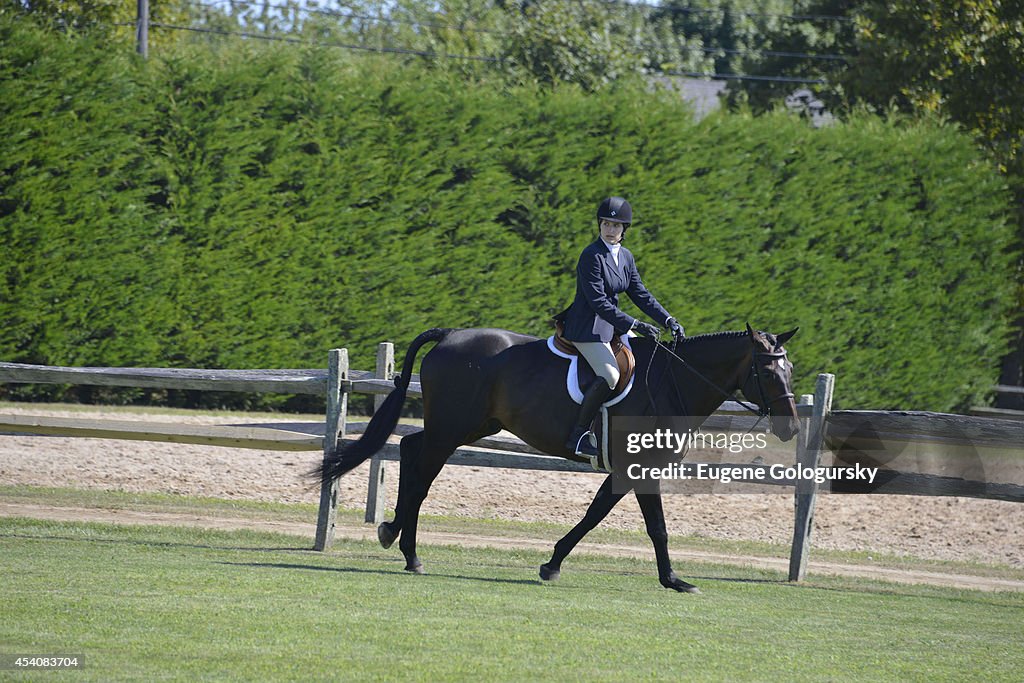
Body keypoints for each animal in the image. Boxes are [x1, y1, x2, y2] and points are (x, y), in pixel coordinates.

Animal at [319, 325, 798, 593]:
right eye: (768, 371)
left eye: (790, 370)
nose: (790, 428)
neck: (671, 382)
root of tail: (450, 334)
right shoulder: (639, 467)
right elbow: (653, 527)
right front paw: (673, 580)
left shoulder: (628, 470)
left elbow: (596, 514)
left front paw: (554, 564)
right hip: (453, 428)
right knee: (422, 471)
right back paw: (405, 547)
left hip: (471, 426)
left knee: (411, 449)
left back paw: (397, 538)